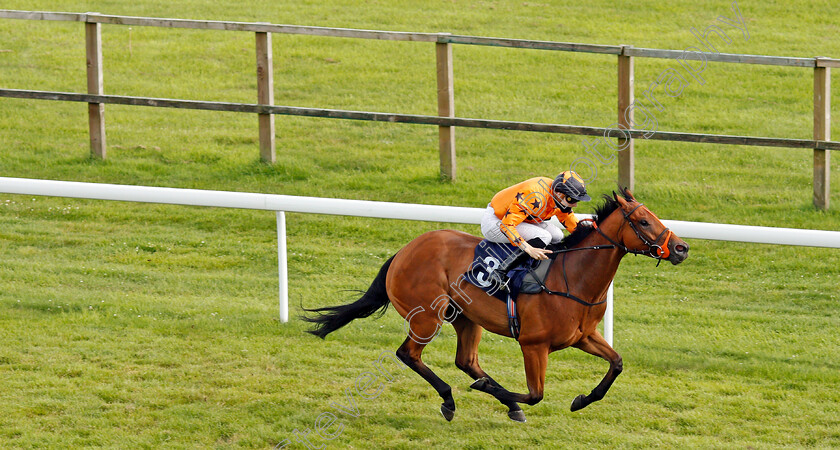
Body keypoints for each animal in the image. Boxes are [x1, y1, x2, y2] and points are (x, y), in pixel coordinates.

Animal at [306, 188, 684, 424]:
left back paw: (502, 401)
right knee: (409, 355)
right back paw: (451, 399)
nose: (682, 248)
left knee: (466, 360)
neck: (572, 277)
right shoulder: (533, 345)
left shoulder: (583, 336)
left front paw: (581, 400)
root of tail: (404, 251)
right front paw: (495, 391)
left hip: (464, 317)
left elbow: (616, 363)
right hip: (427, 317)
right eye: (644, 221)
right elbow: (536, 394)